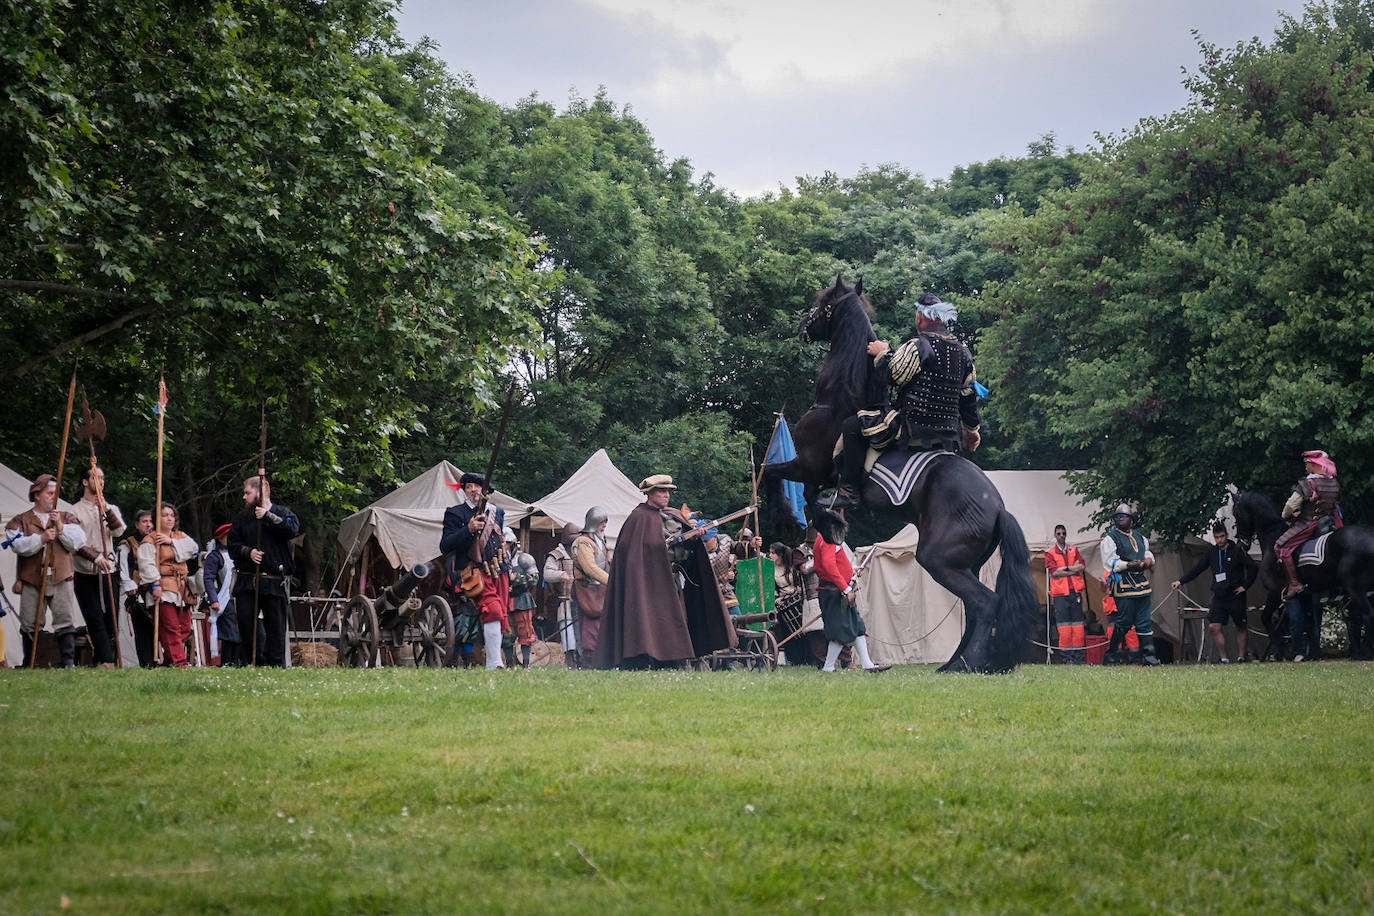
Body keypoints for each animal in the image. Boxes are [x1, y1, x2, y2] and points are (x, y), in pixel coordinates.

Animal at [763, 274, 1033, 672]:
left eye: (825, 303)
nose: (804, 328)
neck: (839, 398)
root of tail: (998, 507)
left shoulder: (806, 464)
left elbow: (770, 472)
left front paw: (784, 517)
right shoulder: (817, 476)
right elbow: (813, 500)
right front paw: (827, 523)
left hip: (937, 559)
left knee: (984, 604)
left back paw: (964, 664)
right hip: (966, 564)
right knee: (973, 607)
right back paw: (953, 663)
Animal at [1231, 494, 1374, 659]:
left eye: (1236, 513)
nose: (1242, 544)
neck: (1272, 537)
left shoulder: (1275, 592)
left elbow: (1266, 618)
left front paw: (1281, 647)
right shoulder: (1305, 596)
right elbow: (1310, 625)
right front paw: (1313, 655)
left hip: (1355, 589)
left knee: (1367, 616)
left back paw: (1363, 653)